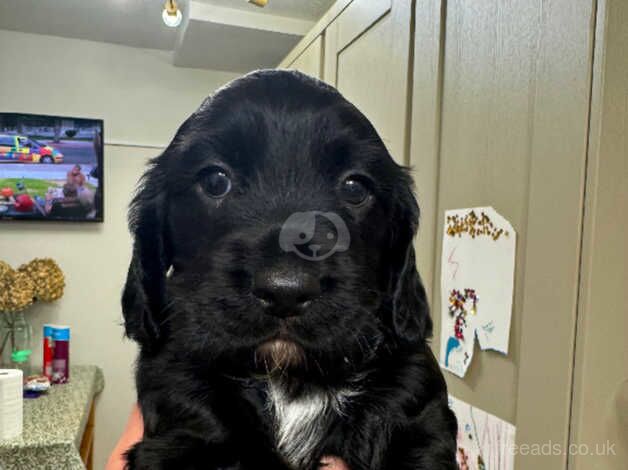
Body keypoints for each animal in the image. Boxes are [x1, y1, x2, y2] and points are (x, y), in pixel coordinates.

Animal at [122, 70, 456, 470]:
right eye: (215, 180)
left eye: (355, 187)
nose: (286, 290)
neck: (290, 378)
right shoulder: (176, 385)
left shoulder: (415, 395)